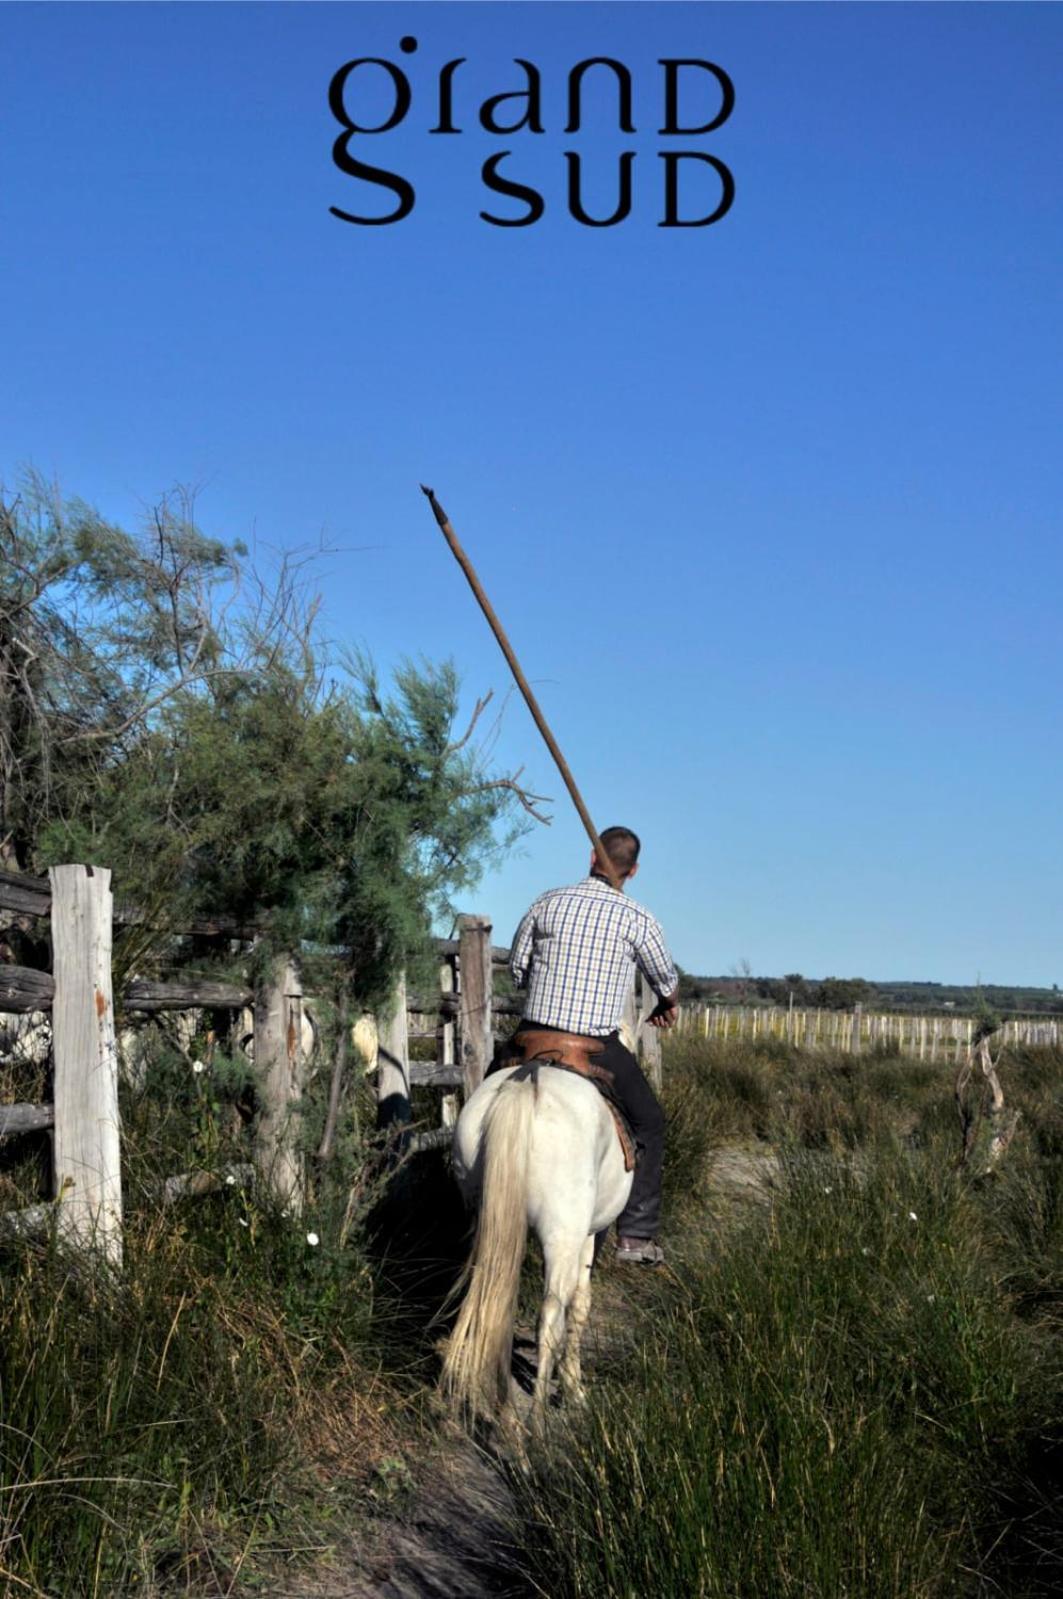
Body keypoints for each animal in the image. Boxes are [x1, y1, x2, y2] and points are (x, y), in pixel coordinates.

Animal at [437, 1061, 629, 1426]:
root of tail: (524, 1083)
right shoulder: (587, 1237)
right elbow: (580, 1304)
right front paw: (573, 1389)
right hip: (561, 1236)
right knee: (550, 1318)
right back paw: (537, 1421)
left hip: (485, 1223)